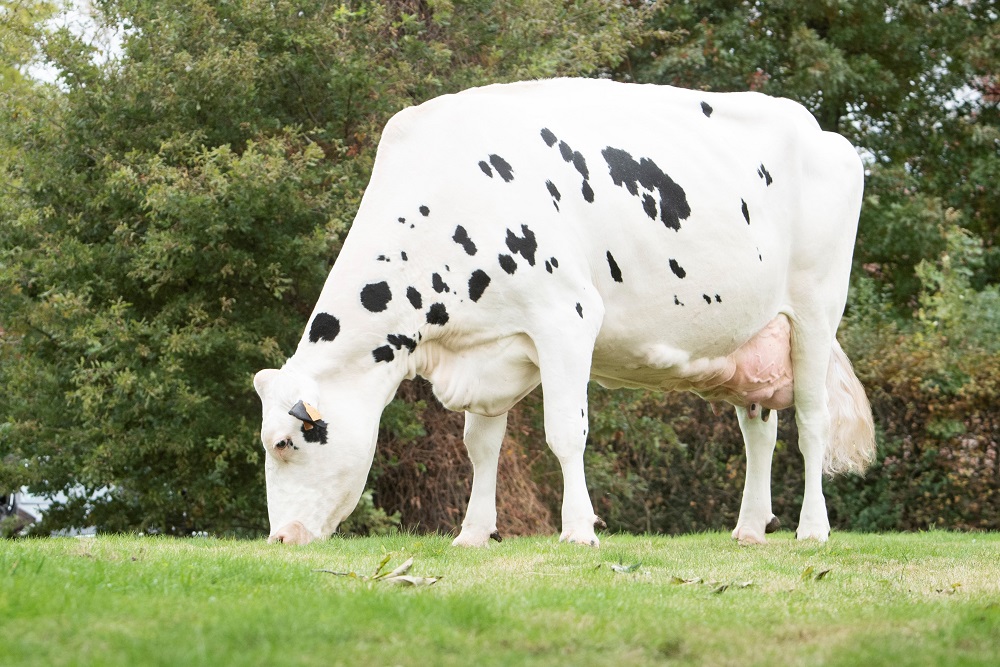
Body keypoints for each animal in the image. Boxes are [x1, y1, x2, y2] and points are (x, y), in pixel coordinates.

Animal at [253, 78, 876, 547]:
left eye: (285, 442)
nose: (280, 537)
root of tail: (821, 131)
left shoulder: (567, 316)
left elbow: (565, 433)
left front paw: (579, 530)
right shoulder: (488, 344)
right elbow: (481, 446)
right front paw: (473, 534)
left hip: (815, 311)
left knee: (812, 423)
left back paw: (812, 530)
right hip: (753, 337)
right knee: (758, 432)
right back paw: (749, 529)